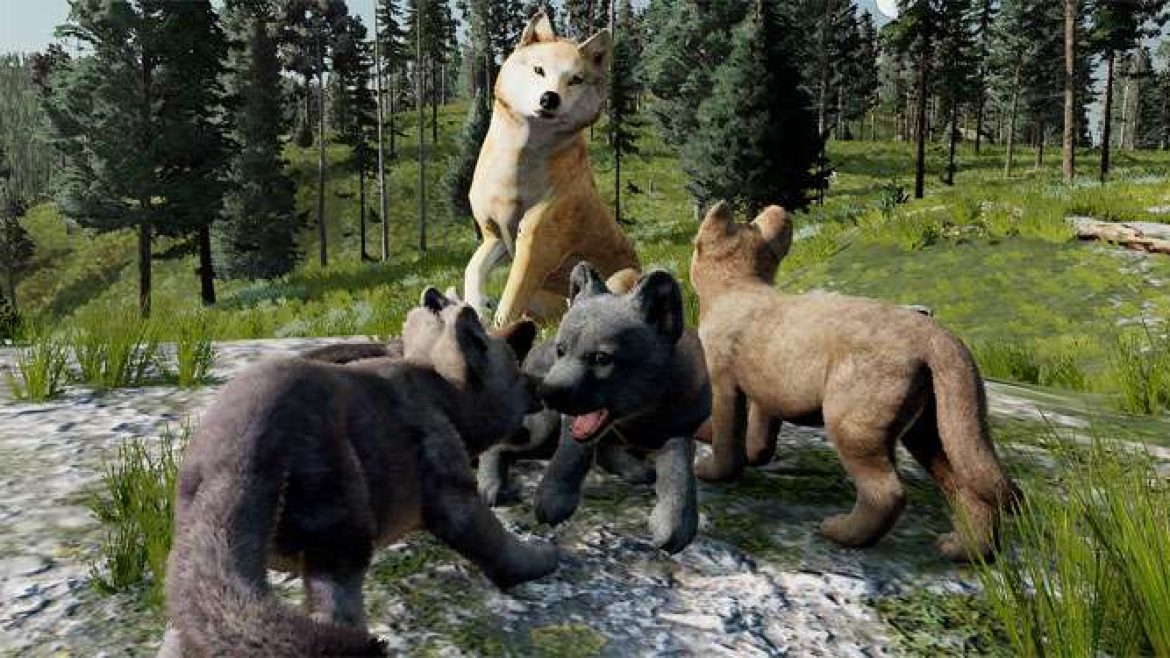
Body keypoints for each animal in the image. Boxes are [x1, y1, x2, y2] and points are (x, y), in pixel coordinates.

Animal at [159, 290, 556, 657]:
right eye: (517, 371)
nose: (539, 388)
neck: (442, 392)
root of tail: (235, 450)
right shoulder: (451, 487)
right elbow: (495, 545)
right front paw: (542, 558)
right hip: (340, 526)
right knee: (336, 610)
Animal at [465, 11, 641, 326]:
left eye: (575, 80)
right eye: (539, 70)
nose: (549, 98)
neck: (516, 164)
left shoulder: (536, 242)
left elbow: (511, 297)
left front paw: (496, 327)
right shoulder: (495, 236)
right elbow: (472, 269)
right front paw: (478, 306)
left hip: (622, 277)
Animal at [531, 264, 709, 554]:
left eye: (601, 358)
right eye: (561, 351)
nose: (546, 393)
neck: (636, 417)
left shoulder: (681, 426)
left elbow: (679, 472)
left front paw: (675, 522)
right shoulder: (573, 425)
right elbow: (572, 451)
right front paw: (554, 496)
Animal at [690, 202, 1021, 561]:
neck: (738, 285)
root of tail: (938, 336)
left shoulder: (722, 379)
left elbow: (727, 437)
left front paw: (709, 469)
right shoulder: (768, 387)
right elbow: (759, 435)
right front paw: (751, 453)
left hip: (852, 421)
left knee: (888, 492)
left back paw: (840, 532)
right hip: (934, 427)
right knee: (967, 488)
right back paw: (962, 549)